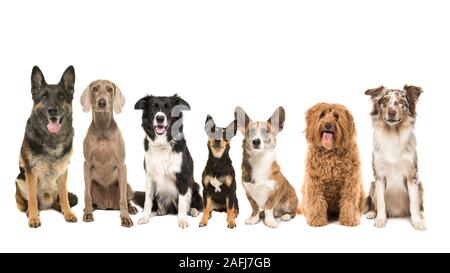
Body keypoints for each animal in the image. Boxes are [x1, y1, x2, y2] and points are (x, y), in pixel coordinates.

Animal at [80, 79, 138, 226]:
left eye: (110, 89)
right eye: (94, 89)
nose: (102, 102)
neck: (102, 130)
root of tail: (108, 206)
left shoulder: (122, 165)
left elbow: (122, 199)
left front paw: (125, 218)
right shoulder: (87, 164)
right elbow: (87, 197)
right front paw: (88, 214)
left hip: (128, 186)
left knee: (126, 198)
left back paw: (131, 208)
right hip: (90, 184)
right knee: (88, 195)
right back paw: (90, 208)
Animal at [133, 94, 203, 227]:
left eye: (169, 107)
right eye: (153, 107)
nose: (160, 118)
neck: (162, 144)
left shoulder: (183, 177)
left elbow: (182, 202)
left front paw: (182, 220)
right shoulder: (150, 176)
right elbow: (148, 200)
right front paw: (145, 217)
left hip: (195, 186)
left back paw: (193, 210)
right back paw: (161, 210)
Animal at [366, 85, 426, 230]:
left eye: (403, 102)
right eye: (384, 100)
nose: (392, 112)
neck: (392, 134)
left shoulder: (412, 175)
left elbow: (413, 203)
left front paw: (417, 222)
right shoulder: (379, 176)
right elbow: (381, 202)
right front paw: (380, 219)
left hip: (421, 186)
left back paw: (421, 214)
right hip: (372, 185)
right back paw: (372, 213)